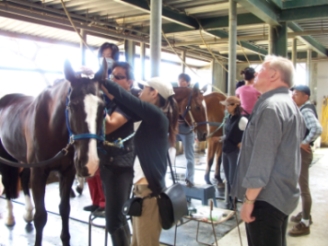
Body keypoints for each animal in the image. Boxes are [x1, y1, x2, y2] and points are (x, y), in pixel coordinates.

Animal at [0, 60, 105, 246]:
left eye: (102, 108)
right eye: (72, 106)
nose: (89, 164)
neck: (51, 127)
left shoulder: (67, 172)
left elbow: (64, 209)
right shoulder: (39, 172)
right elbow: (41, 217)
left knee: (23, 178)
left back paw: (27, 213)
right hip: (6, 156)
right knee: (7, 181)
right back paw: (10, 218)